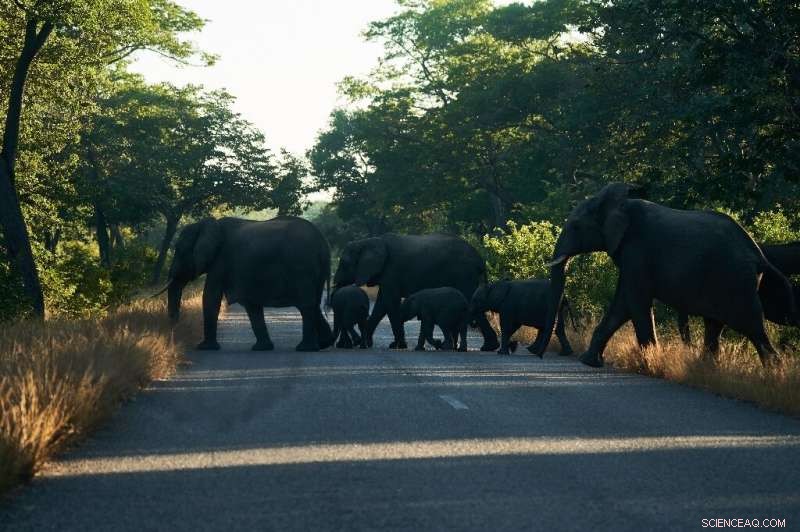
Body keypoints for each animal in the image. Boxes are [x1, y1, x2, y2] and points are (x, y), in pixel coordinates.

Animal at [164, 216, 334, 352]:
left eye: (179, 250)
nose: (174, 329)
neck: (207, 224)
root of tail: (323, 243)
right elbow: (251, 305)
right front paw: (262, 348)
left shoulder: (221, 260)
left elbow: (211, 297)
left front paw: (204, 348)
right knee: (313, 304)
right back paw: (323, 344)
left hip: (301, 267)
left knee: (306, 305)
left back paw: (305, 349)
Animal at [333, 233, 500, 351]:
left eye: (344, 264)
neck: (369, 241)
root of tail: (480, 260)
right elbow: (382, 304)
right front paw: (368, 343)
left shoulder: (392, 271)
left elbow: (390, 302)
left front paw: (398, 346)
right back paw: (488, 347)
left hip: (464, 274)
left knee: (473, 304)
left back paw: (488, 347)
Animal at [531, 183, 797, 367]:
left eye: (576, 226)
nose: (536, 353)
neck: (620, 204)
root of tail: (757, 254)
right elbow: (623, 305)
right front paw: (590, 362)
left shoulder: (637, 251)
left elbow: (634, 302)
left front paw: (650, 363)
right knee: (715, 325)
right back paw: (706, 369)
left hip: (735, 282)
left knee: (752, 327)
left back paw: (773, 374)